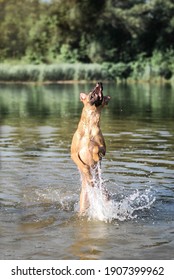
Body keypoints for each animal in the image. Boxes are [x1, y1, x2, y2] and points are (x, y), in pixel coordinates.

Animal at [70, 82, 110, 214]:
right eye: (91, 90)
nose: (99, 83)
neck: (90, 124)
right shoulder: (73, 154)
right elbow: (83, 165)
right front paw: (87, 172)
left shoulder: (103, 149)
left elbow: (96, 148)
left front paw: (94, 156)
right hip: (83, 204)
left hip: (105, 196)